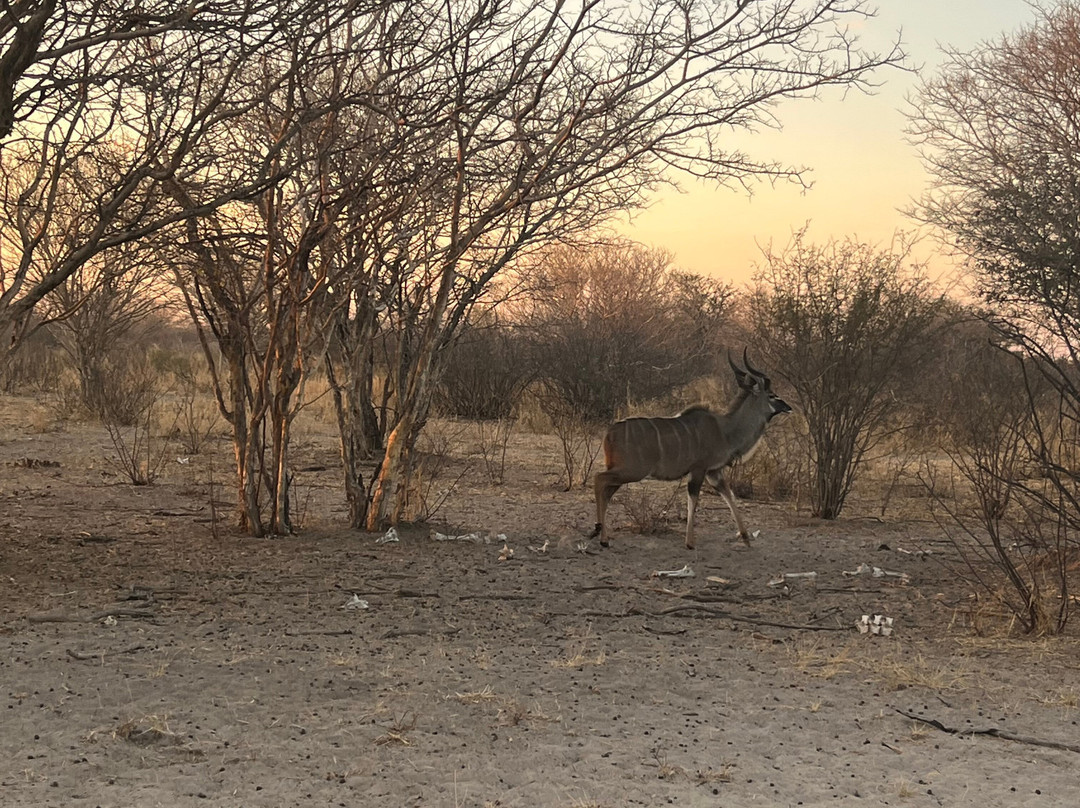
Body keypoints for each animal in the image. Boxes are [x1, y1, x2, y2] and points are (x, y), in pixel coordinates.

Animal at [591, 350, 791, 550]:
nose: (788, 407)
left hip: (623, 474)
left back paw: (602, 536)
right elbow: (693, 500)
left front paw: (746, 538)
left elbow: (729, 496)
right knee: (599, 478)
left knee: (606, 492)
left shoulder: (714, 472)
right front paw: (690, 542)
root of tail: (610, 432)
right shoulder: (699, 469)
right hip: (632, 471)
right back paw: (600, 533)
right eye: (772, 395)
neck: (725, 431)